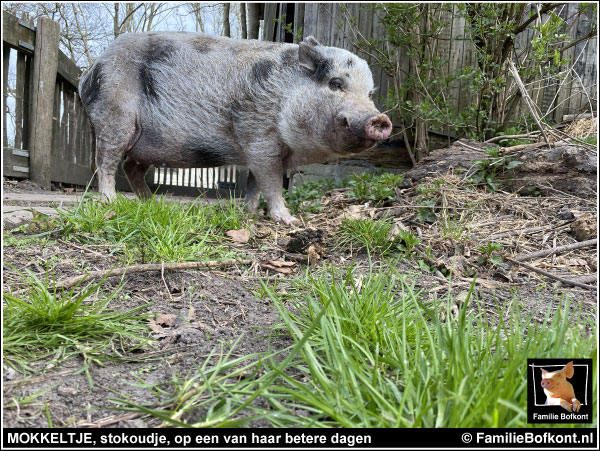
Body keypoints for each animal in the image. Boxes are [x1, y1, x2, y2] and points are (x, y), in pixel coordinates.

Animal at [77, 31, 392, 226]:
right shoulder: (260, 140)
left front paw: (250, 214)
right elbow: (271, 183)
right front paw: (289, 220)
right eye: (336, 84)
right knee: (106, 160)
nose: (378, 119)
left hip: (145, 145)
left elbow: (254, 184)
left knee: (130, 166)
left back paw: (151, 203)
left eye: (369, 94)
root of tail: (91, 69)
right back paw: (110, 201)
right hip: (114, 117)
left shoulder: (257, 153)